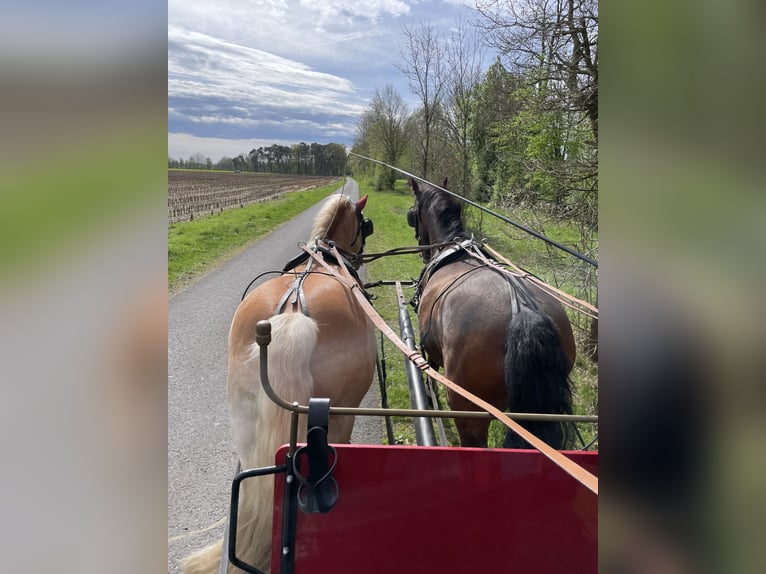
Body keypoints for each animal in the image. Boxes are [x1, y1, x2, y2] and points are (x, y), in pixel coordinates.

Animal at [407, 179, 576, 449]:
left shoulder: (429, 346)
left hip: (469, 413)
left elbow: (430, 367)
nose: (422, 250)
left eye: (413, 214)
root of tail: (523, 310)